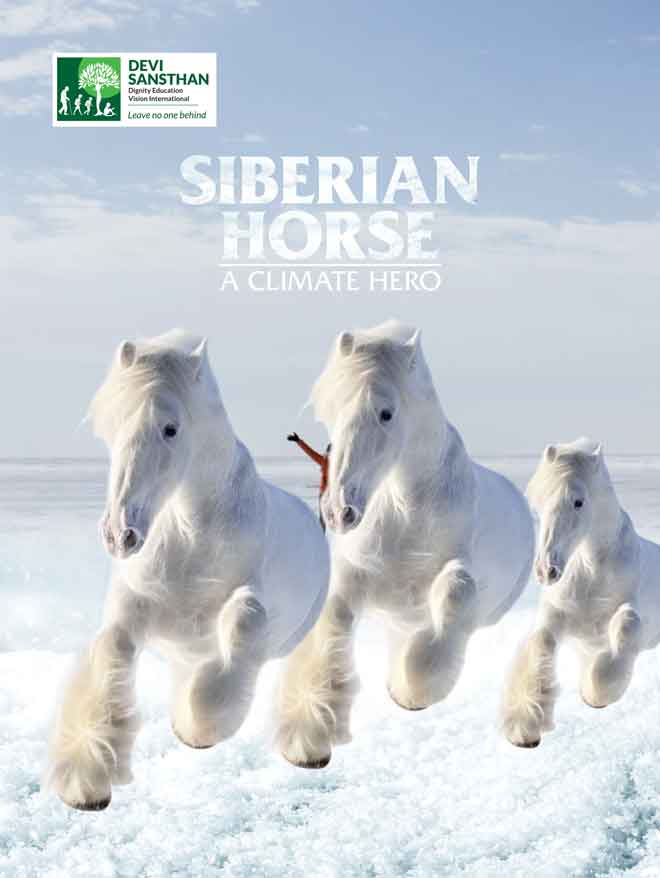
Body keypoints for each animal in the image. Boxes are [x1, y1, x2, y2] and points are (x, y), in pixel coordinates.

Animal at [49, 331, 330, 810]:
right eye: (110, 427)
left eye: (170, 428)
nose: (119, 533)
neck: (189, 541)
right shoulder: (133, 612)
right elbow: (111, 658)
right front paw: (86, 782)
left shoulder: (248, 601)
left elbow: (242, 624)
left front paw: (203, 727)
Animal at [276, 320, 535, 768]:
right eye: (332, 412)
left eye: (386, 412)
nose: (339, 511)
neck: (404, 512)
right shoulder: (356, 578)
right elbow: (333, 629)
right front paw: (309, 736)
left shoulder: (452, 572)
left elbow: (453, 595)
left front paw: (413, 690)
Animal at [502, 438, 660, 748]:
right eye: (538, 505)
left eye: (578, 501)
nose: (546, 570)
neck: (591, 574)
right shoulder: (558, 617)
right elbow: (541, 643)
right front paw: (525, 728)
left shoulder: (629, 612)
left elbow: (626, 625)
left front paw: (596, 694)